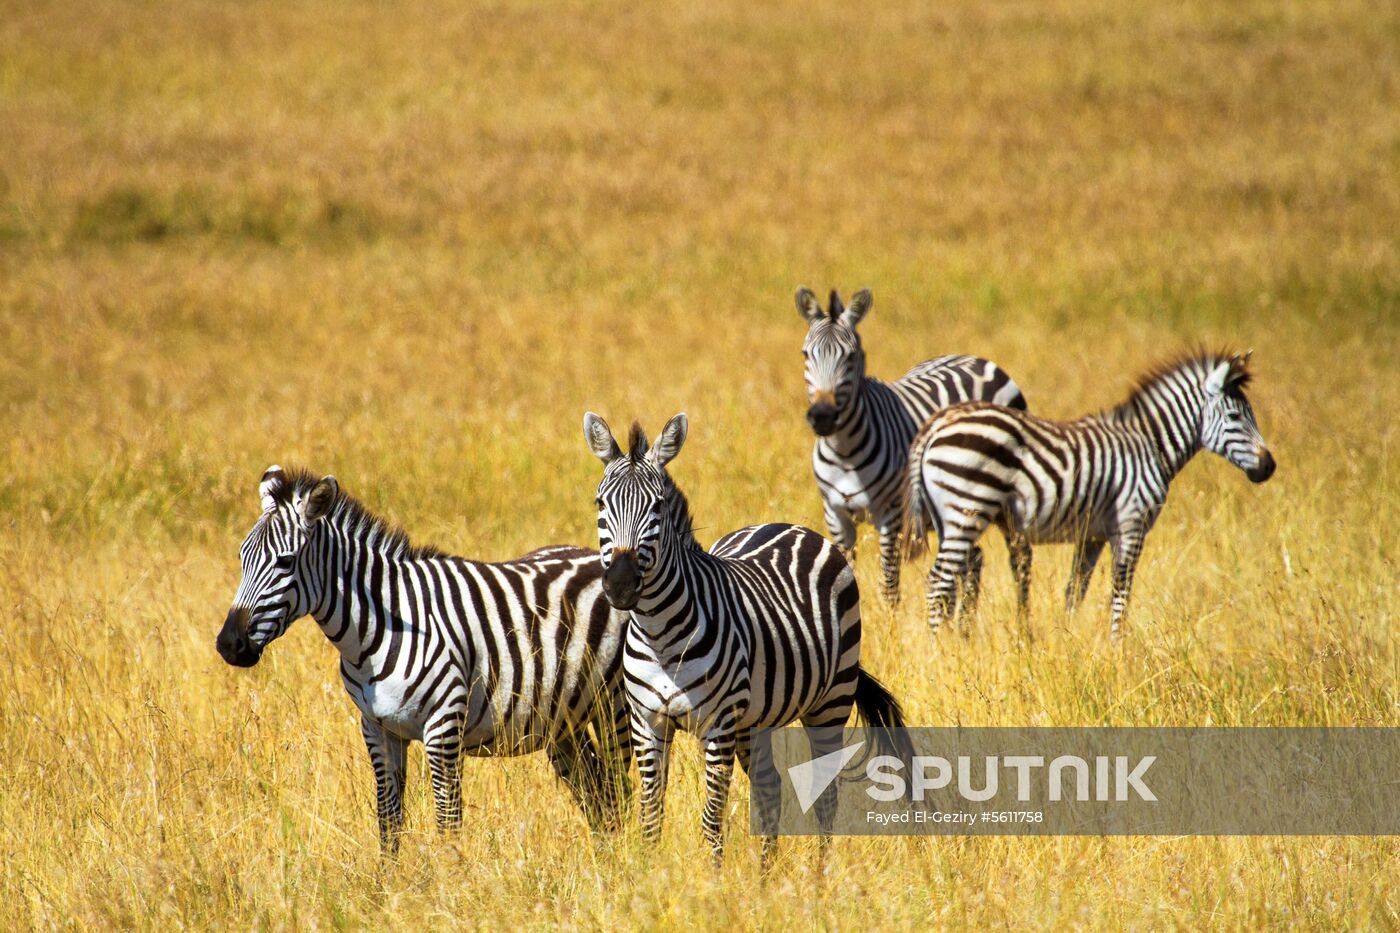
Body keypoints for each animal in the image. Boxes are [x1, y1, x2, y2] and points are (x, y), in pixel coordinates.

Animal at [215, 465, 632, 851]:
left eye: (285, 562)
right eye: (240, 557)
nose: (229, 644)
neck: (379, 628)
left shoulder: (443, 728)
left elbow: (448, 824)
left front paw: (450, 880)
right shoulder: (378, 730)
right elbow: (388, 822)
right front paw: (387, 883)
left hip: (615, 708)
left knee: (624, 791)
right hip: (565, 722)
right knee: (601, 800)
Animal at [579, 411, 907, 862]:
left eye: (658, 506)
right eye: (600, 503)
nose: (621, 585)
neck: (660, 633)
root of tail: (791, 526)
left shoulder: (718, 726)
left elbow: (711, 820)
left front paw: (712, 879)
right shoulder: (648, 722)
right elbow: (651, 817)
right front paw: (651, 872)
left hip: (830, 701)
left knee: (825, 796)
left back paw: (819, 876)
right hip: (755, 720)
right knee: (770, 788)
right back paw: (766, 874)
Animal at [800, 282, 1030, 602]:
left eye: (851, 356)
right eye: (806, 354)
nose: (822, 416)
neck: (843, 451)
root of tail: (978, 359)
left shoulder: (892, 514)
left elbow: (889, 585)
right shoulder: (836, 516)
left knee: (1020, 556)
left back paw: (1023, 616)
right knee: (974, 559)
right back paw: (966, 618)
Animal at [901, 348, 1276, 638]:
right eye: (1234, 416)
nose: (1269, 466)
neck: (1150, 447)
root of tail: (934, 426)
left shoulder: (1092, 535)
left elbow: (1074, 591)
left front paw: (1065, 639)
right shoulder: (1131, 525)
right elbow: (1121, 592)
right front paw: (1118, 649)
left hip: (948, 518)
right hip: (967, 510)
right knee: (937, 582)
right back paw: (940, 651)